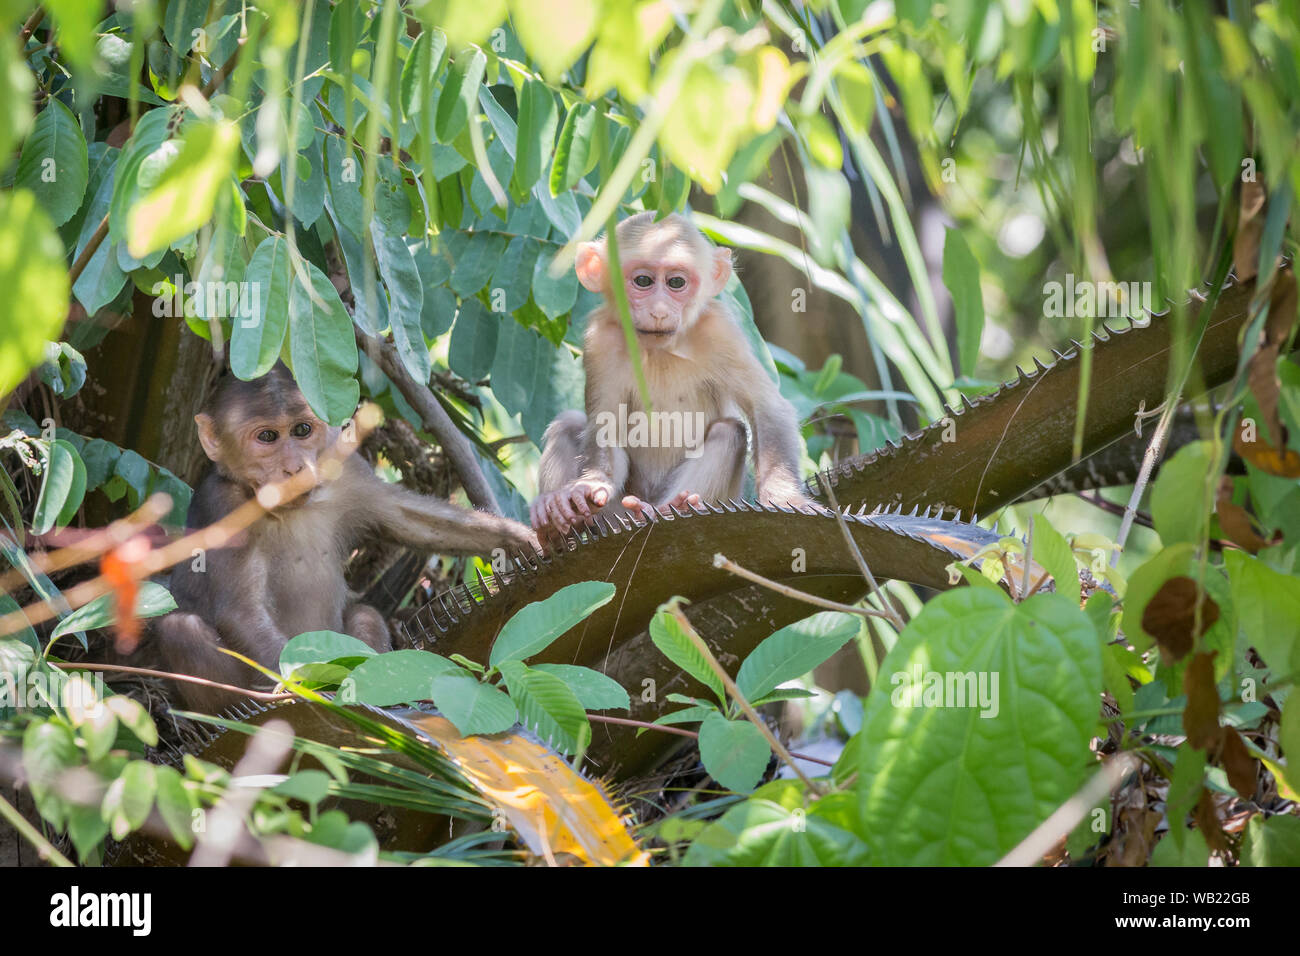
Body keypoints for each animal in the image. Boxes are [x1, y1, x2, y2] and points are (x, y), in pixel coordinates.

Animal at [154, 361, 535, 712]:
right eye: (267, 437)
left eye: (302, 430)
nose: (294, 468)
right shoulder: (222, 505)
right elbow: (240, 611)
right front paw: (299, 688)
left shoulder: (346, 471)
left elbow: (406, 517)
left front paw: (522, 538)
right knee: (181, 629)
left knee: (365, 613)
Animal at [533, 210, 806, 538]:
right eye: (643, 281)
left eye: (676, 282)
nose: (660, 311)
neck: (660, 349)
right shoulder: (600, 340)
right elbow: (606, 426)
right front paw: (588, 486)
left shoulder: (720, 330)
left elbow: (767, 407)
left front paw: (786, 499)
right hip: (616, 515)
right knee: (568, 423)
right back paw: (555, 526)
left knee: (730, 431)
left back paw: (673, 508)